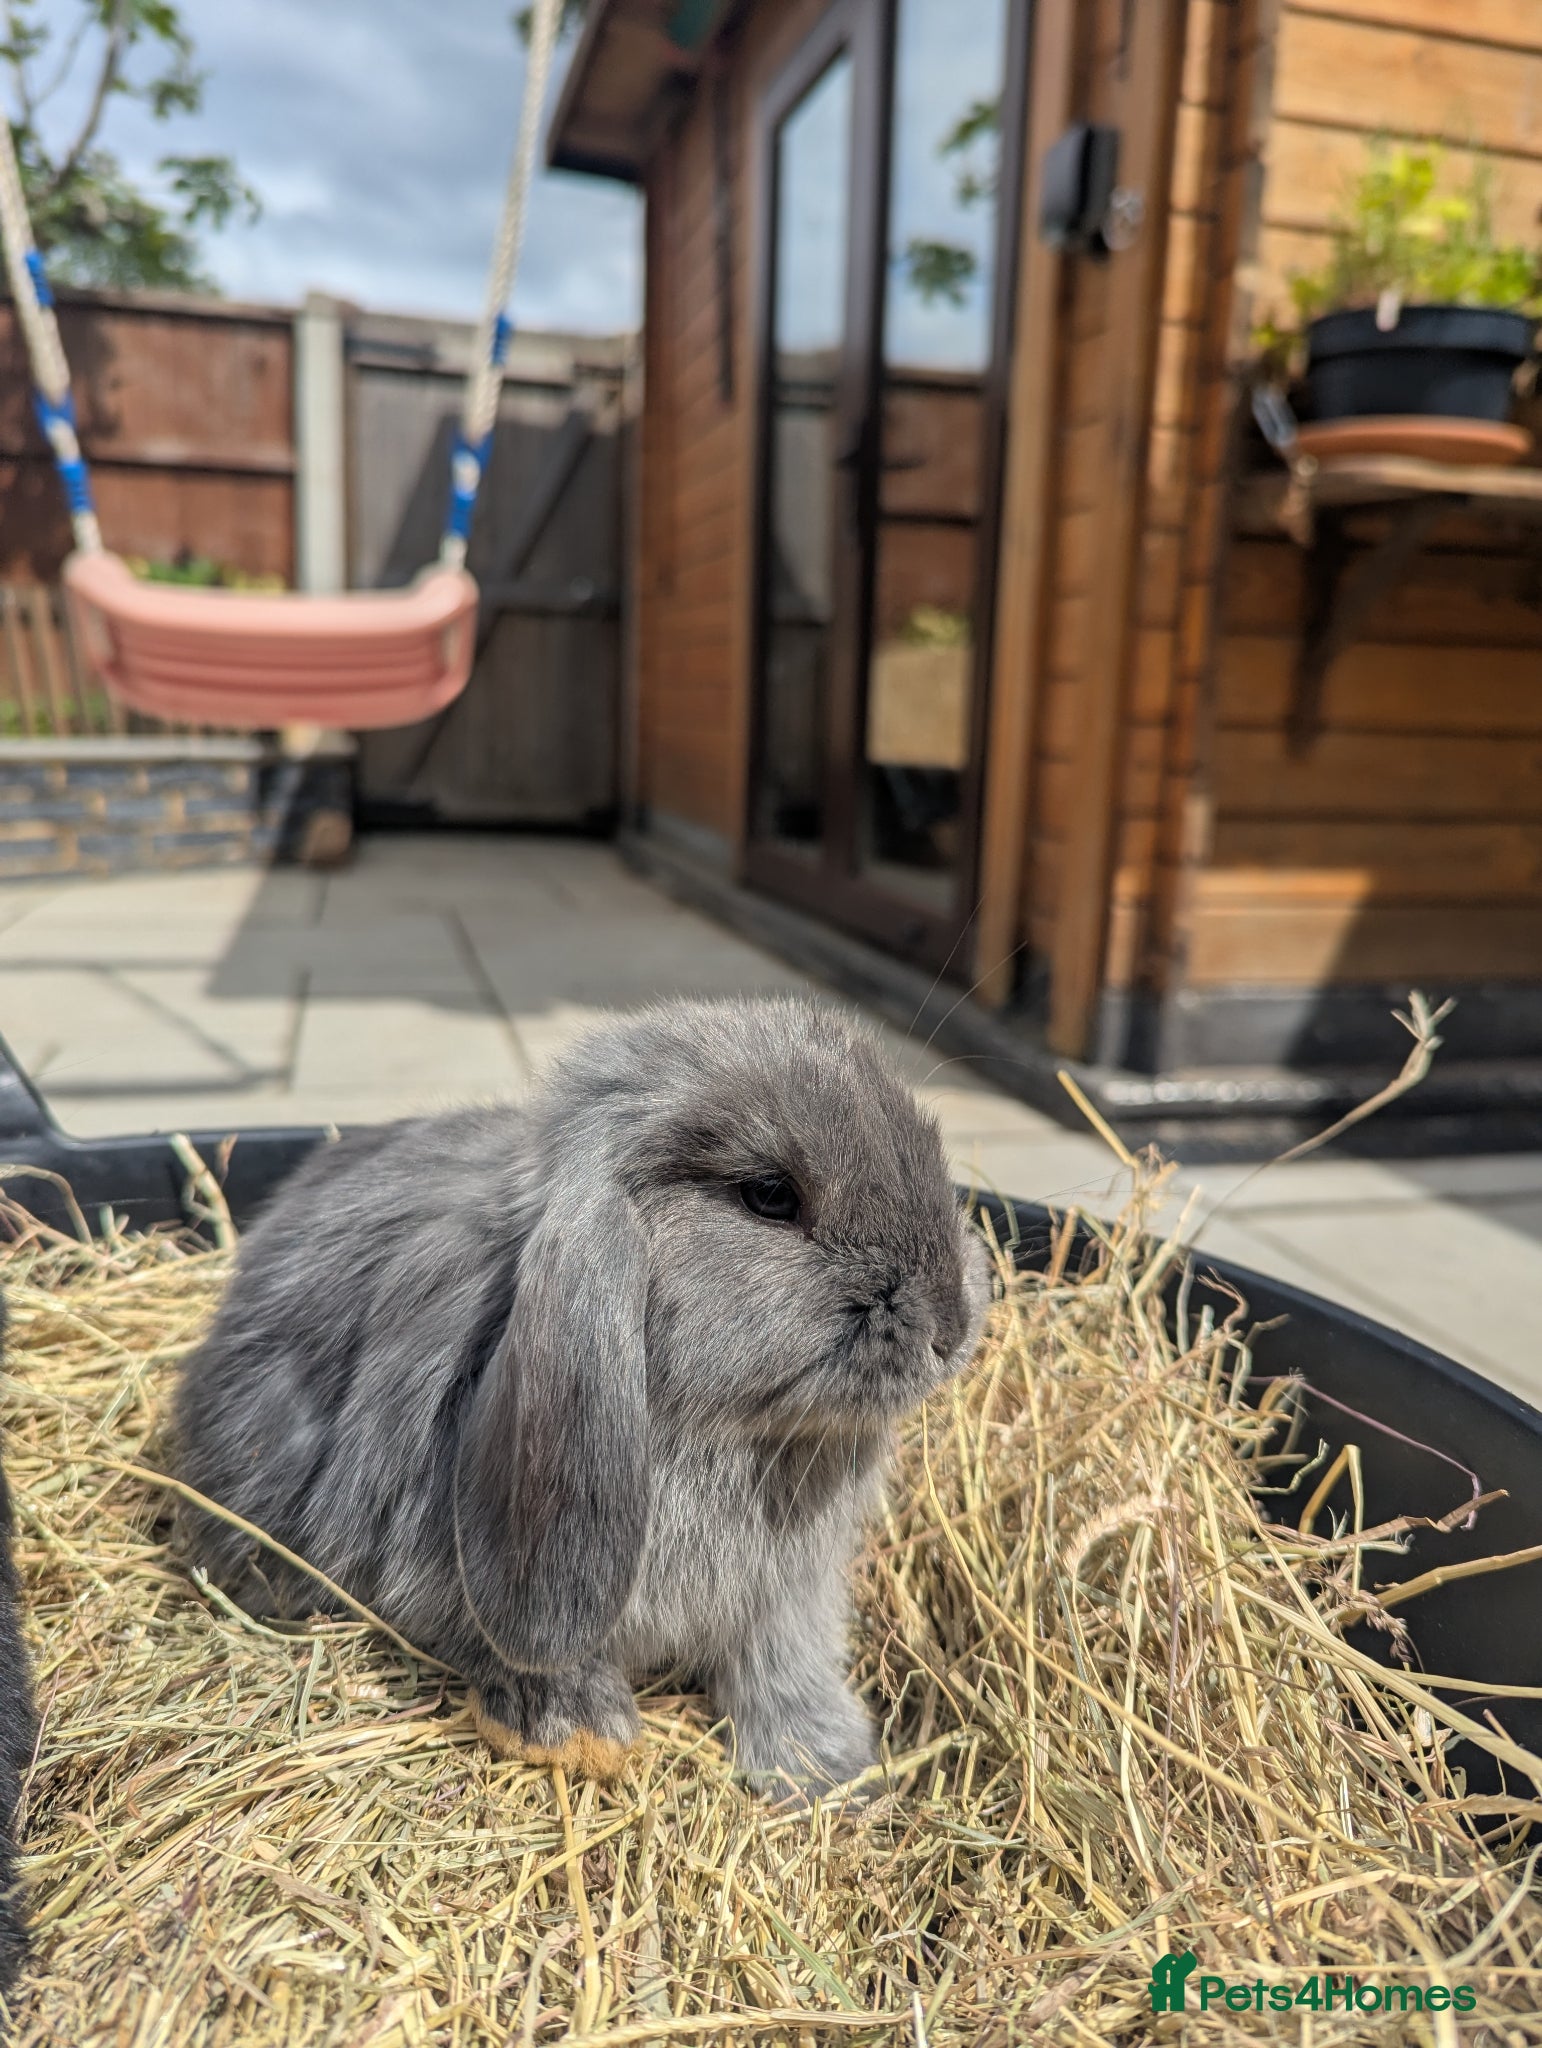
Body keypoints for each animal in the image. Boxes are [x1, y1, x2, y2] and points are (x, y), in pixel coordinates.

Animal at [173, 996, 990, 1794]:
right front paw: (577, 1734)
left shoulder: (788, 1595)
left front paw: (830, 1774)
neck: (724, 1431)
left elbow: (784, 1666)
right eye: (770, 1196)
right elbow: (521, 1650)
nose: (950, 1326)